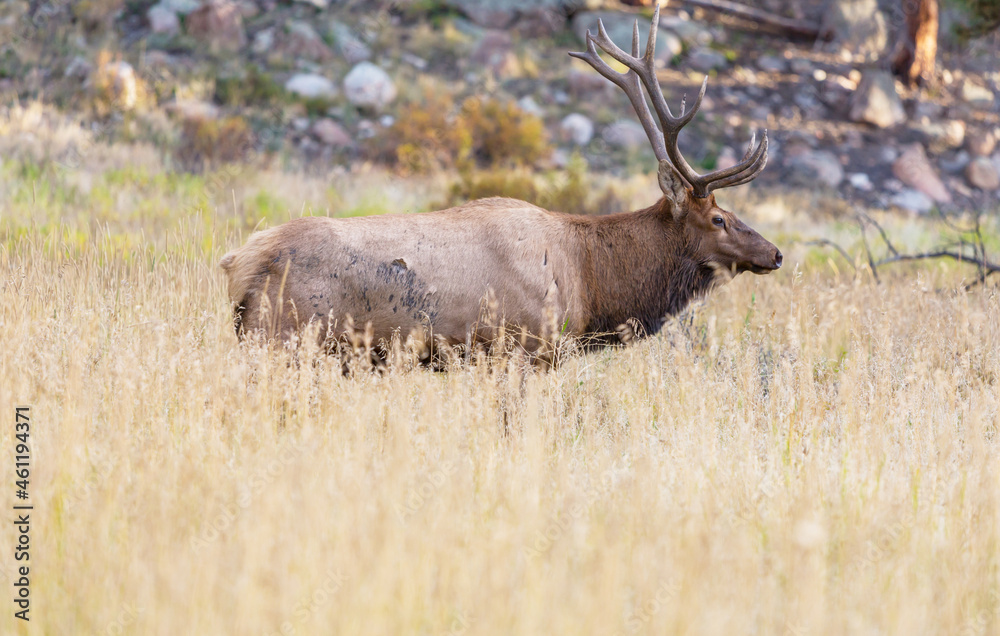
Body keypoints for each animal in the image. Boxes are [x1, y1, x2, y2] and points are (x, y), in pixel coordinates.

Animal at [219, 7, 780, 360]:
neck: (590, 279)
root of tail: (239, 262)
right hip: (285, 338)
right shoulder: (522, 349)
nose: (775, 253)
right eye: (719, 218)